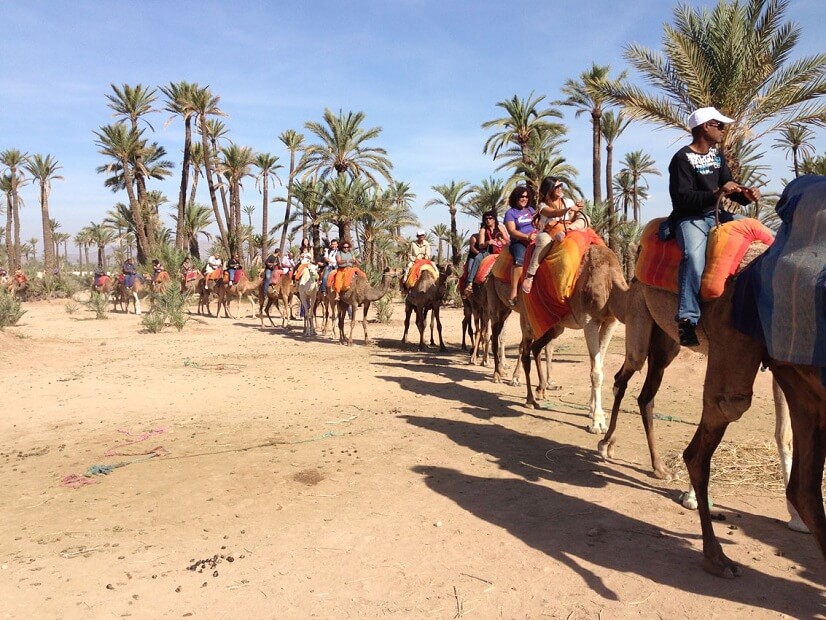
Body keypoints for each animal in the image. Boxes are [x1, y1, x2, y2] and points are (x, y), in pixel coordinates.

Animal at [520, 240, 628, 434]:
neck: (609, 280)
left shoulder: (610, 322)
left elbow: (598, 365)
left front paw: (592, 411)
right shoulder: (590, 320)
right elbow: (596, 372)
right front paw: (598, 423)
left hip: (555, 327)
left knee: (536, 347)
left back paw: (541, 391)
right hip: (527, 319)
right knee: (525, 353)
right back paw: (530, 400)